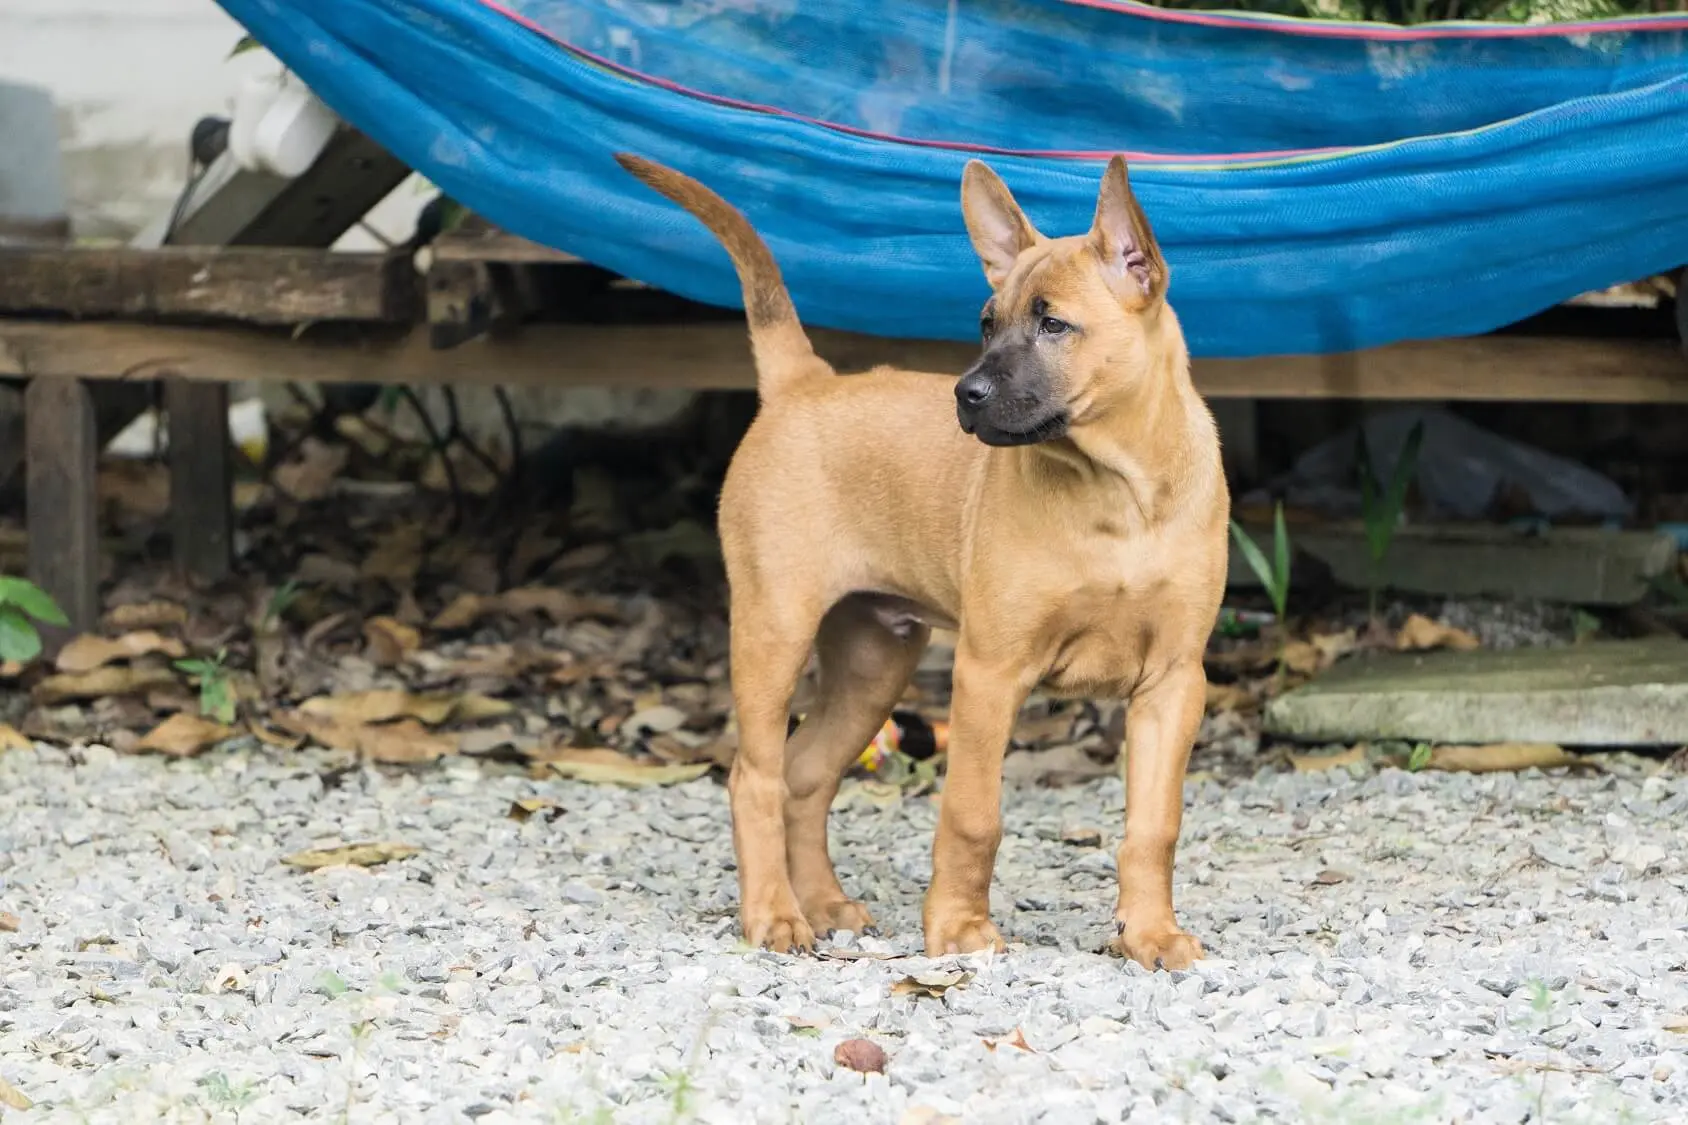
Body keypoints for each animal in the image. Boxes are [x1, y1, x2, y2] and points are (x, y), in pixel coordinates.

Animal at [617, 153, 1228, 966]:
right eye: (986, 323)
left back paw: (825, 903)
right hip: (774, 630)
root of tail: (803, 381)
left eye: (1054, 323)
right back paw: (774, 915)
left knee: (804, 776)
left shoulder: (1173, 684)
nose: (965, 396)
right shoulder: (989, 673)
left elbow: (1154, 827)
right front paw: (959, 928)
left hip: (873, 662)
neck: (1115, 494)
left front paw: (1150, 932)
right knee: (755, 776)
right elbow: (972, 814)